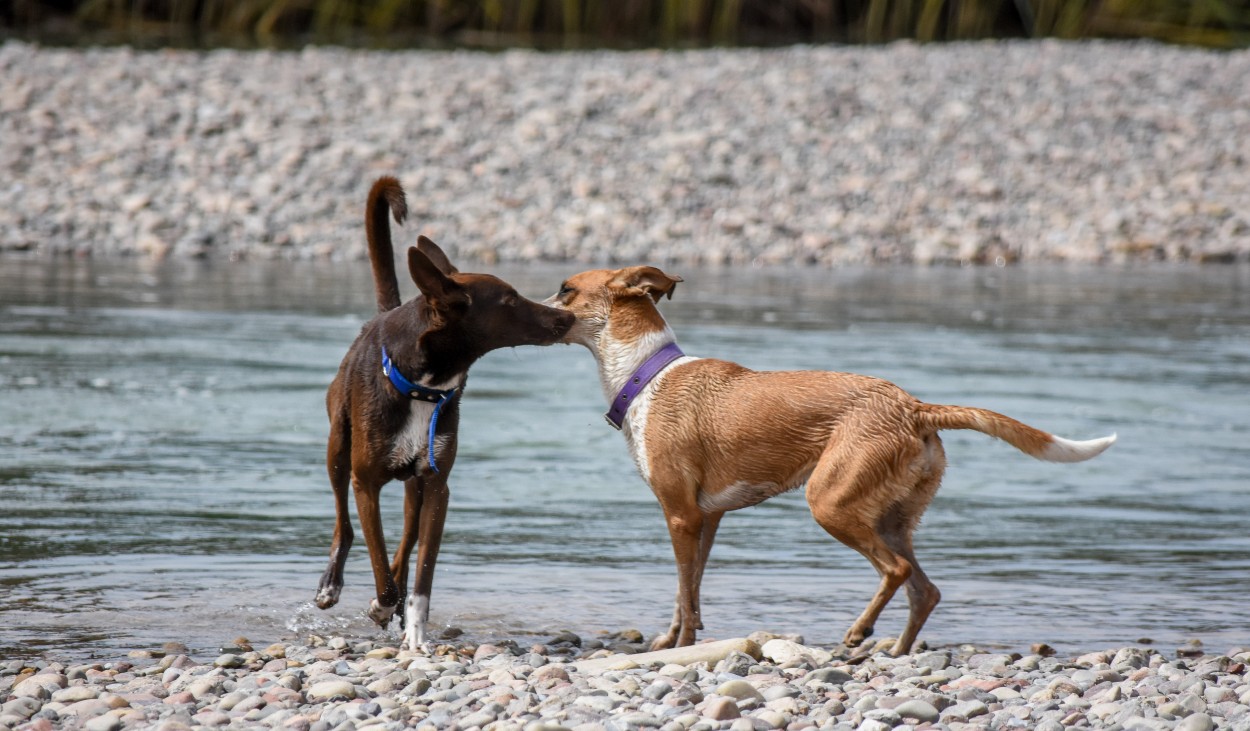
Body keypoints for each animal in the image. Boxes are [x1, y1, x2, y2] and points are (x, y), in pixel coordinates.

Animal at [315, 176, 572, 649]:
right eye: (510, 301)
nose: (565, 318)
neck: (425, 388)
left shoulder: (437, 487)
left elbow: (421, 573)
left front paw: (414, 630)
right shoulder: (366, 483)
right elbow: (377, 557)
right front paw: (382, 603)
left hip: (413, 486)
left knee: (405, 541)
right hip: (338, 449)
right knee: (344, 524)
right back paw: (332, 586)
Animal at [545, 264, 1115, 654]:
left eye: (566, 289)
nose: (538, 309)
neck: (645, 374)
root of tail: (914, 407)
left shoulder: (681, 515)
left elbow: (686, 596)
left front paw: (681, 649)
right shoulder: (706, 518)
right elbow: (689, 591)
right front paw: (671, 642)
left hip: (831, 503)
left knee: (897, 572)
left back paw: (860, 632)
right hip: (891, 516)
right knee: (925, 590)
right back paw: (896, 650)